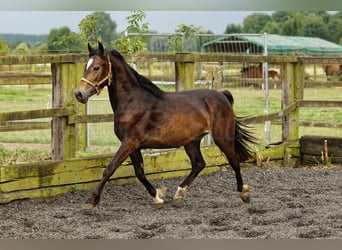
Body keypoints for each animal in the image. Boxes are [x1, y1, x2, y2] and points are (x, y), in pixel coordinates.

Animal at [75, 42, 256, 209]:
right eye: (85, 66)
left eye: (96, 67)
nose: (79, 93)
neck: (132, 101)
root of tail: (222, 95)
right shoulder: (133, 146)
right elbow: (139, 172)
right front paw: (157, 197)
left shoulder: (129, 142)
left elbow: (110, 168)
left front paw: (91, 200)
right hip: (192, 141)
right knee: (199, 164)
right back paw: (178, 195)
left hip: (222, 138)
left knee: (234, 161)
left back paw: (244, 193)